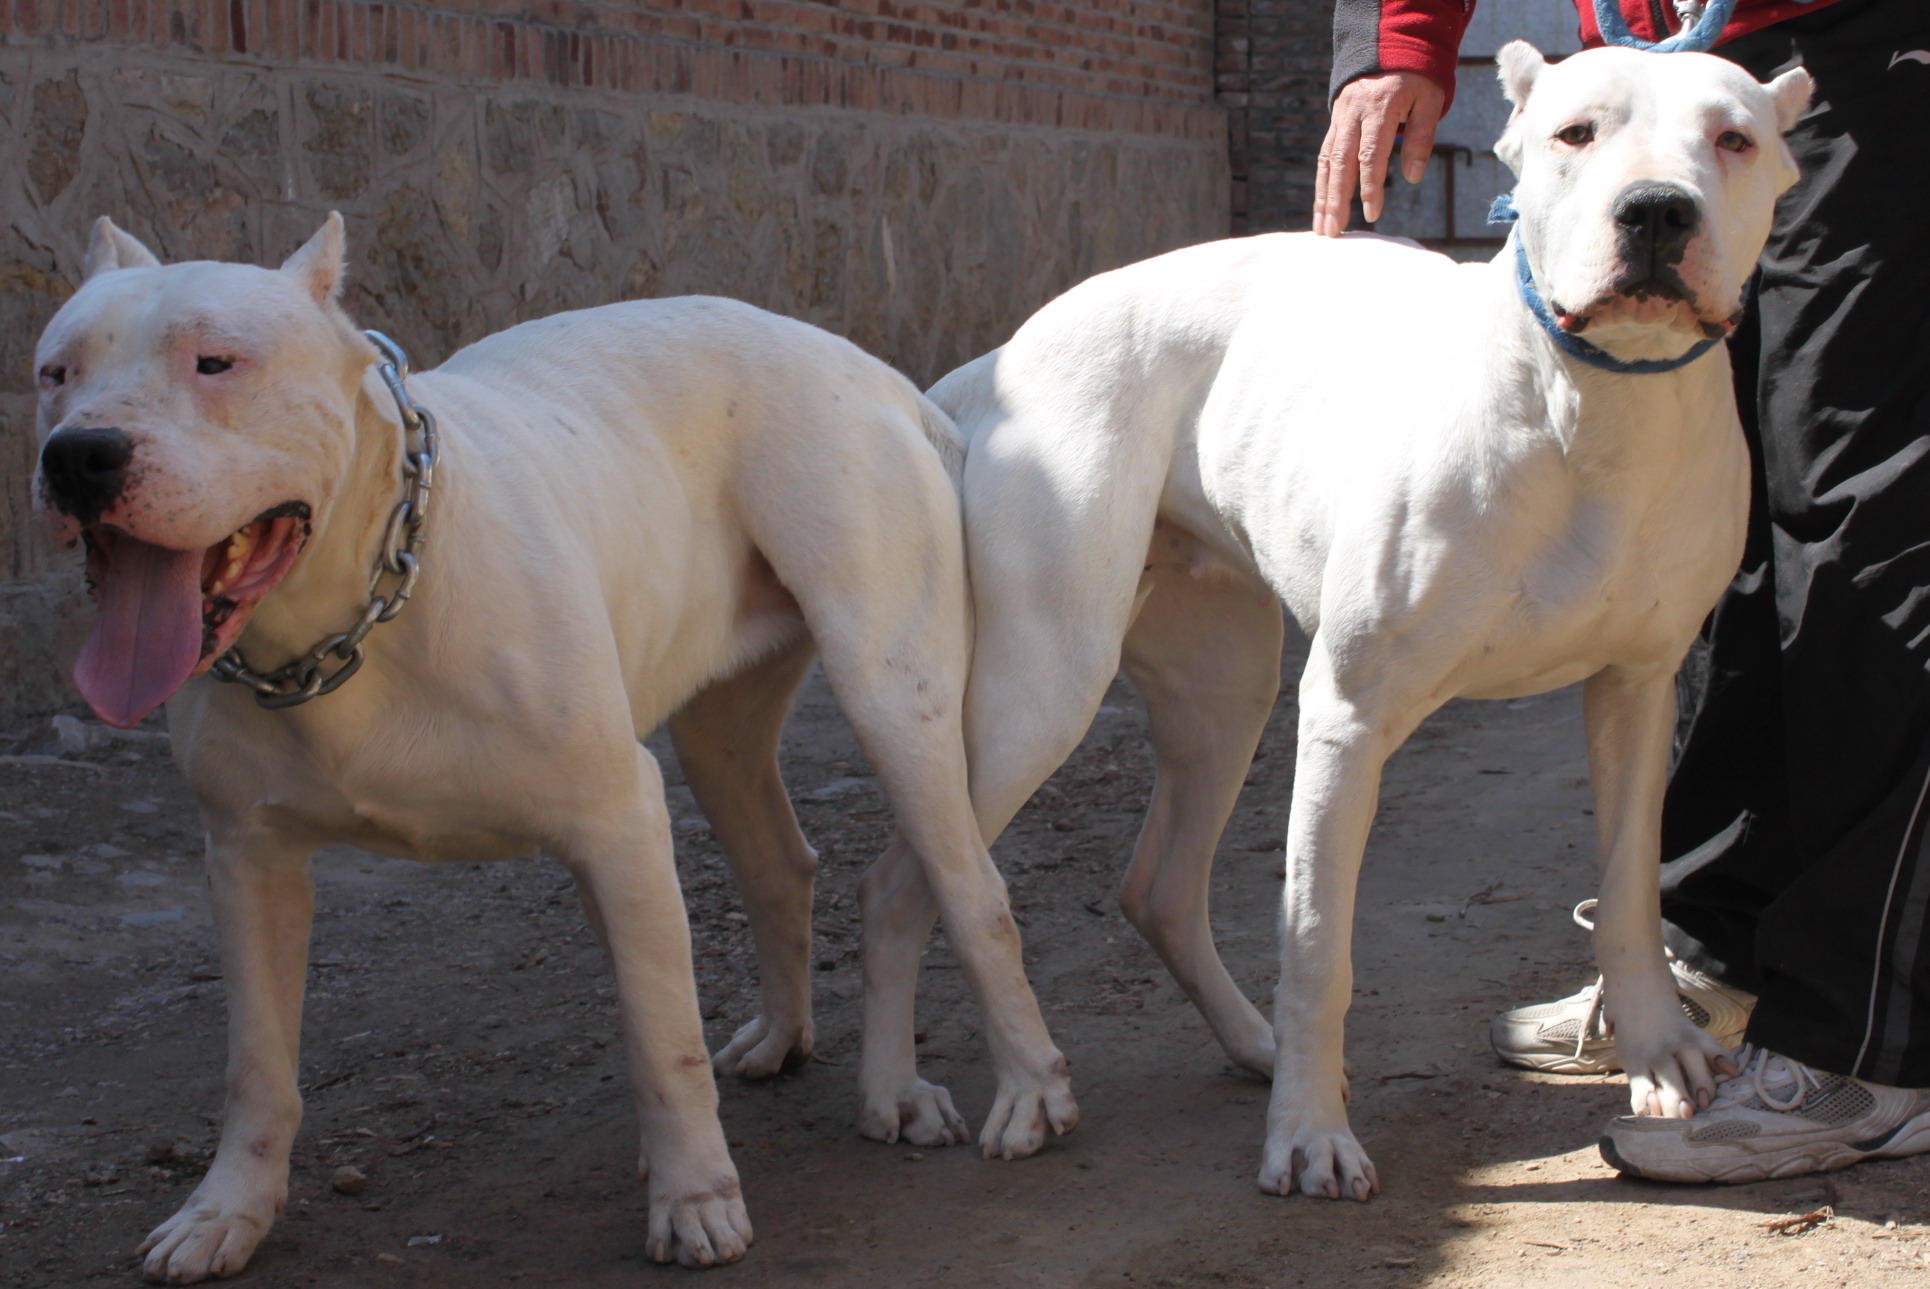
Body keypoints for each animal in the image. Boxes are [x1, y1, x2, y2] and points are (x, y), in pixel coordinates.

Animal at [34, 221, 1073, 1281]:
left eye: (216, 362)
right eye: (55, 371)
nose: (79, 455)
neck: (353, 616)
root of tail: (870, 367)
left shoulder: (618, 817)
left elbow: (663, 1042)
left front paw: (694, 1199)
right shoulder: (248, 859)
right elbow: (256, 1064)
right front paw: (225, 1211)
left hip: (891, 693)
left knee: (968, 892)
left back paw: (1000, 1087)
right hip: (719, 729)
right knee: (779, 864)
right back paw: (785, 1038)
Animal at [856, 42, 1806, 1211]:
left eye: (1734, 139)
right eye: (1576, 133)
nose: (1659, 211)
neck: (1589, 408)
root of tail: (999, 356)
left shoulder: (1635, 688)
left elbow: (1628, 888)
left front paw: (1659, 1048)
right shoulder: (1349, 713)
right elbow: (1317, 944)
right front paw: (1308, 1134)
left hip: (1223, 691)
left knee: (1155, 885)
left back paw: (1247, 1045)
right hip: (1041, 691)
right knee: (911, 878)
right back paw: (925, 1088)